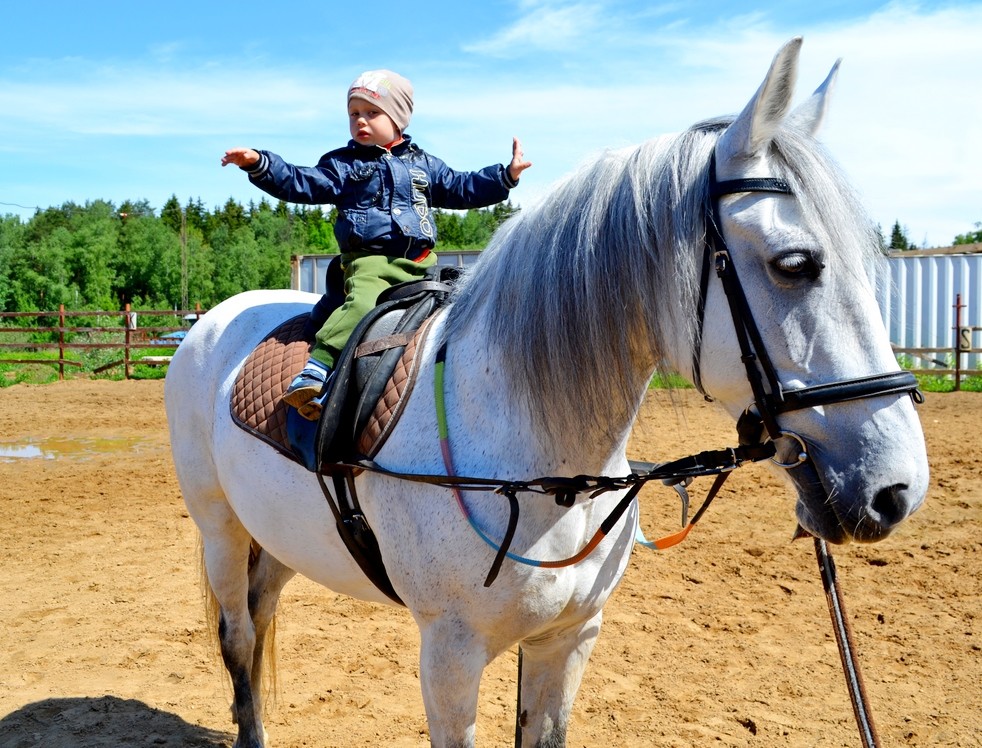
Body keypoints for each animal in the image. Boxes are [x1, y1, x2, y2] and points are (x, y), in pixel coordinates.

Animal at [163, 39, 932, 748]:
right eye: (795, 264)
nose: (897, 490)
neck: (543, 466)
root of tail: (212, 322)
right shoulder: (449, 656)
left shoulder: (568, 639)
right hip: (219, 527)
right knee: (238, 637)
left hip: (277, 535)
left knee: (261, 615)